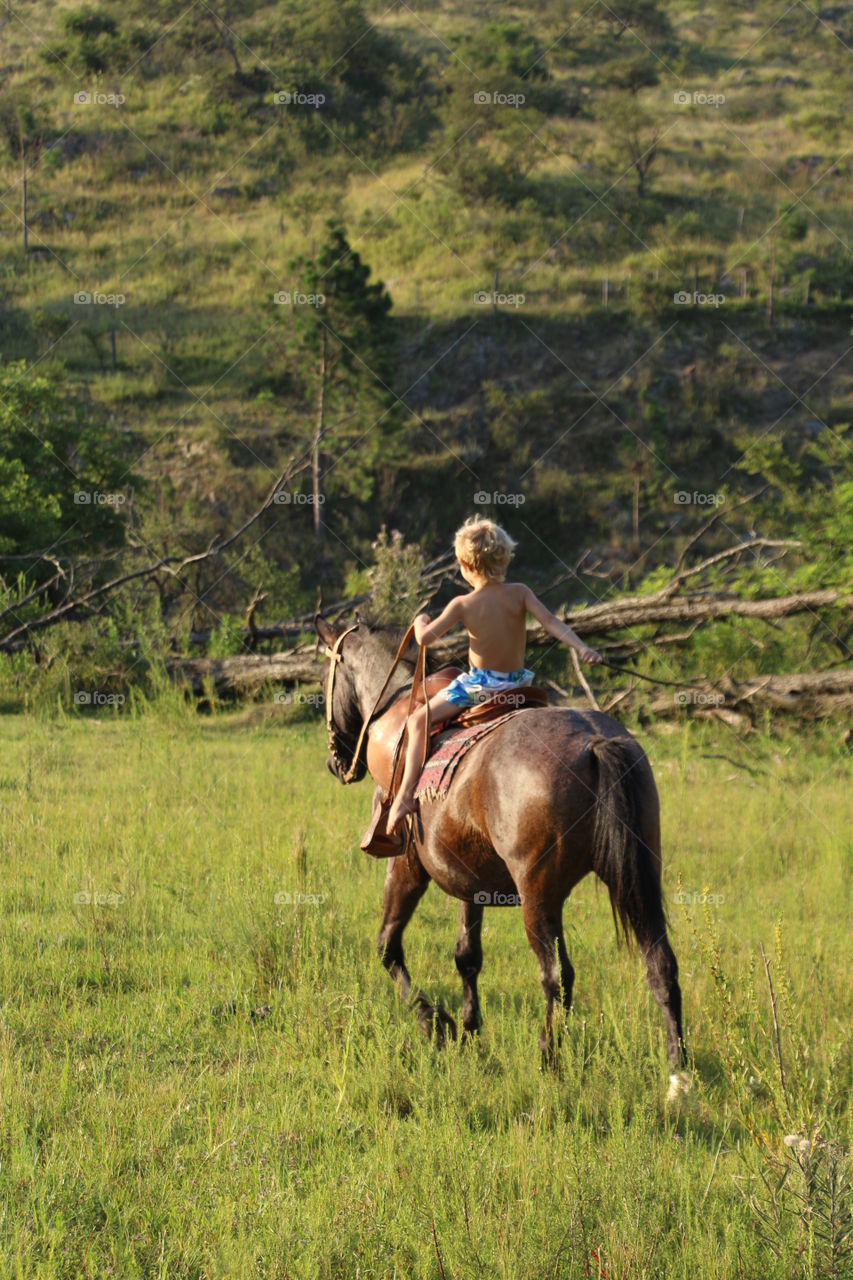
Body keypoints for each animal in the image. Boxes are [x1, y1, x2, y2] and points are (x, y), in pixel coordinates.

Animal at [313, 614, 686, 1075]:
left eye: (324, 679)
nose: (334, 762)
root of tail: (594, 743)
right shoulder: (468, 878)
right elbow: (467, 955)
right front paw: (470, 1029)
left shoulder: (406, 865)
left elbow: (387, 947)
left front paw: (436, 1023)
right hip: (639, 876)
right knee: (661, 963)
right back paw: (678, 1070)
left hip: (538, 895)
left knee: (557, 976)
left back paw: (548, 1058)